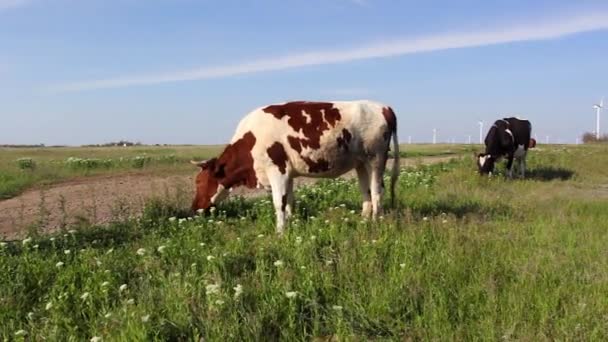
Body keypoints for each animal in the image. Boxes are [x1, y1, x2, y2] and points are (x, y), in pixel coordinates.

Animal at [190, 100, 400, 234]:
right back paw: (363, 220)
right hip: (361, 163)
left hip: (376, 159)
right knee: (366, 192)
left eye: (199, 181)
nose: (193, 208)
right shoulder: (288, 173)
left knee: (376, 192)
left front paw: (280, 232)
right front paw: (290, 224)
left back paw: (374, 224)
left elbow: (279, 203)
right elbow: (289, 201)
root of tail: (383, 107)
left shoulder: (277, 170)